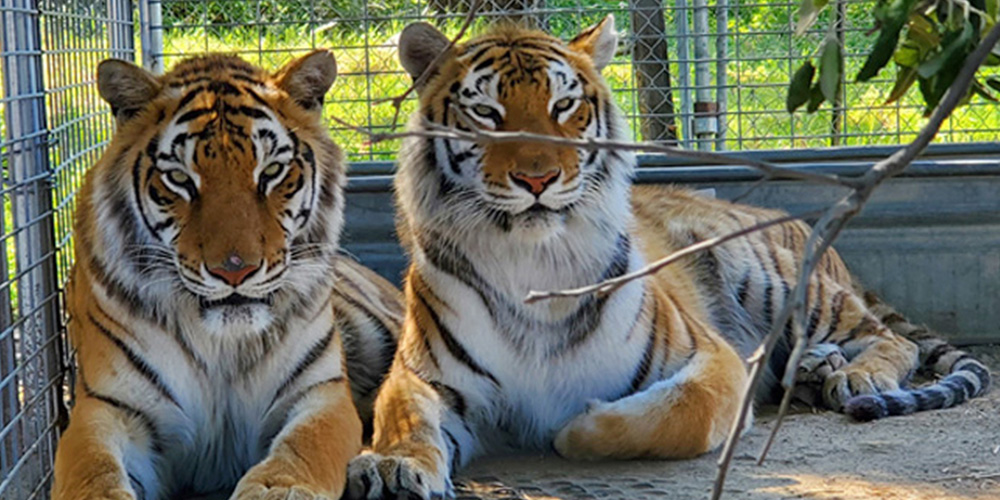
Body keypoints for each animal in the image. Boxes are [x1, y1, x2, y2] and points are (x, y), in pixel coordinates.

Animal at [50, 51, 402, 500]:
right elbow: (93, 473)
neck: (223, 346)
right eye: (179, 178)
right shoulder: (109, 409)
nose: (235, 271)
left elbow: (301, 452)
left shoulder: (320, 393)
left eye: (271, 172)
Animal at [342, 15, 992, 500]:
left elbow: (670, 414)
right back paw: (815, 371)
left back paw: (852, 374)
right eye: (486, 113)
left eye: (564, 106)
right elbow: (405, 423)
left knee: (890, 338)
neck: (535, 263)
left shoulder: (712, 359)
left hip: (774, 280)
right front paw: (393, 466)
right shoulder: (421, 377)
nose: (538, 178)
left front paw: (570, 427)